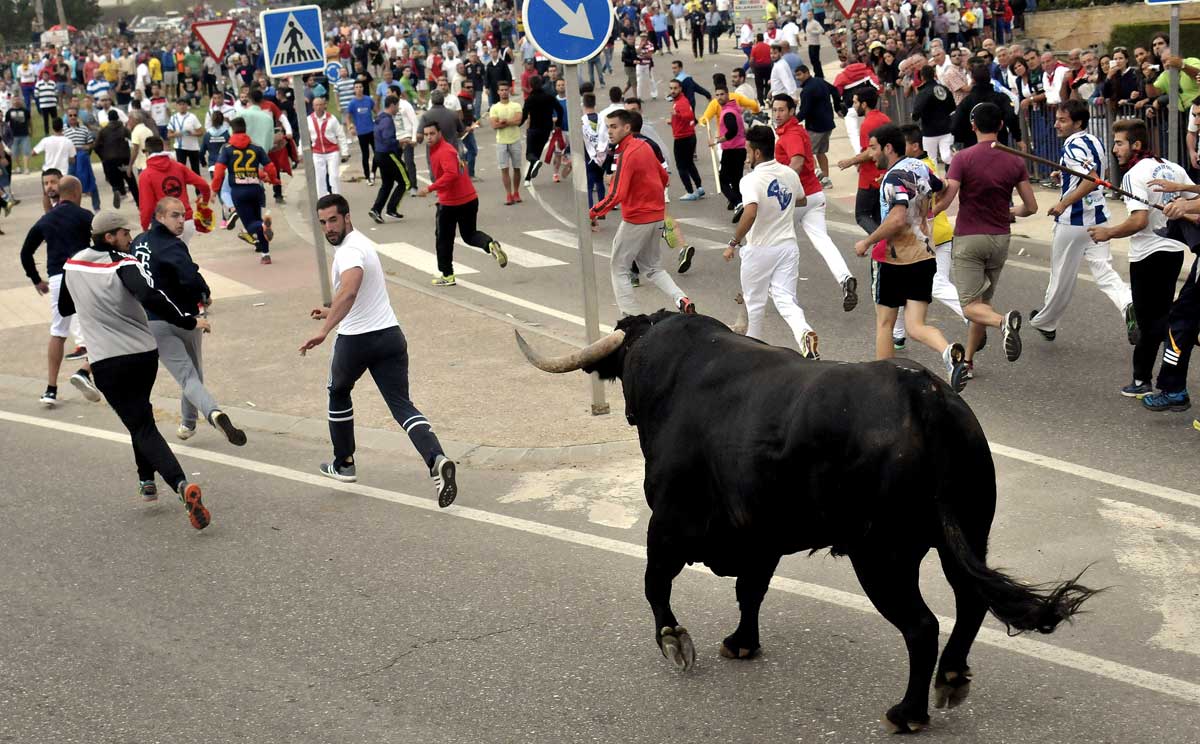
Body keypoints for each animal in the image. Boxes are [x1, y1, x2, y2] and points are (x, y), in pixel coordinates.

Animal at [516, 307, 1099, 734]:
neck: (676, 370)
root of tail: (927, 398)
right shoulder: (761, 538)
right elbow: (749, 591)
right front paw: (741, 642)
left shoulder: (668, 523)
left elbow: (655, 584)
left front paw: (675, 641)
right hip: (969, 533)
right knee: (970, 603)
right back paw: (951, 679)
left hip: (882, 557)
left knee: (922, 626)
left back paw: (907, 713)